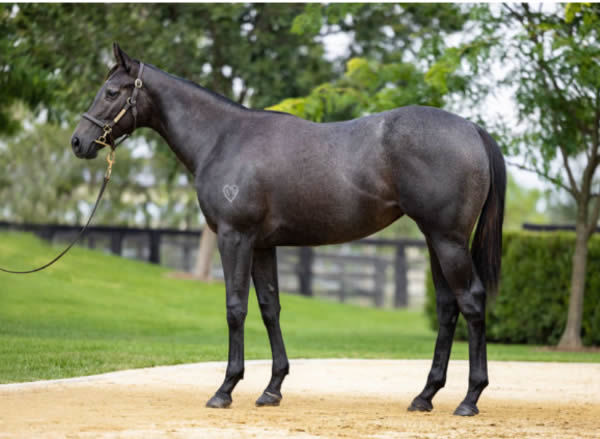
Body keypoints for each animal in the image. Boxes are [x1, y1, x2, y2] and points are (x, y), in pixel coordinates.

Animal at [70, 45, 504, 420]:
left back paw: (470, 398)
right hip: (435, 241)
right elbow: (269, 308)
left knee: (471, 301)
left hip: (448, 241)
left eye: (111, 92)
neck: (222, 138)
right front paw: (272, 388)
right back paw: (425, 395)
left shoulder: (234, 237)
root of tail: (472, 129)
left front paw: (225, 389)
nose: (78, 142)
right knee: (447, 308)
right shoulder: (263, 246)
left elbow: (235, 308)